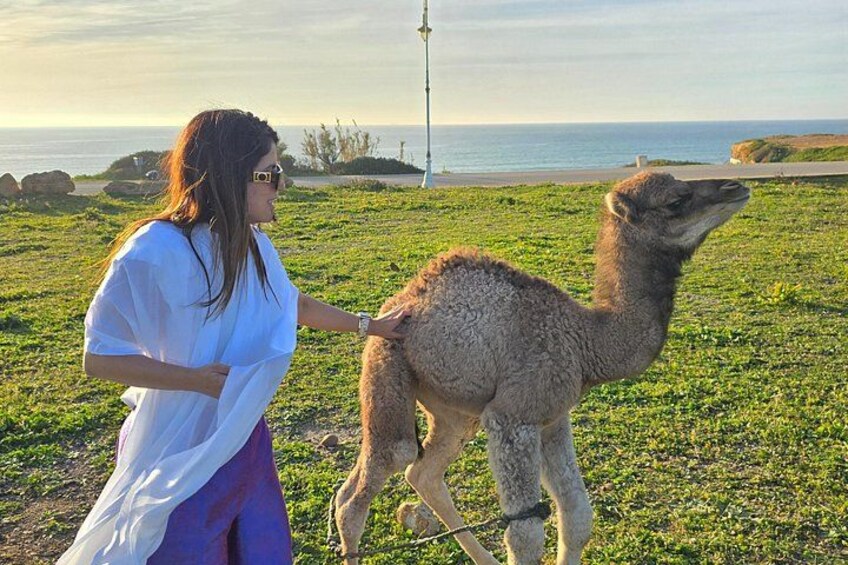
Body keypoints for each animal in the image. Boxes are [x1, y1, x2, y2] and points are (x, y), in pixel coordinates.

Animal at [332, 172, 750, 564]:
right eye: (675, 200)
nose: (737, 187)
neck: (585, 342)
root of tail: (396, 303)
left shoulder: (553, 418)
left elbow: (578, 516)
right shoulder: (515, 417)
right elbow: (525, 538)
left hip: (455, 410)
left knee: (423, 472)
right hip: (387, 365)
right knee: (369, 483)